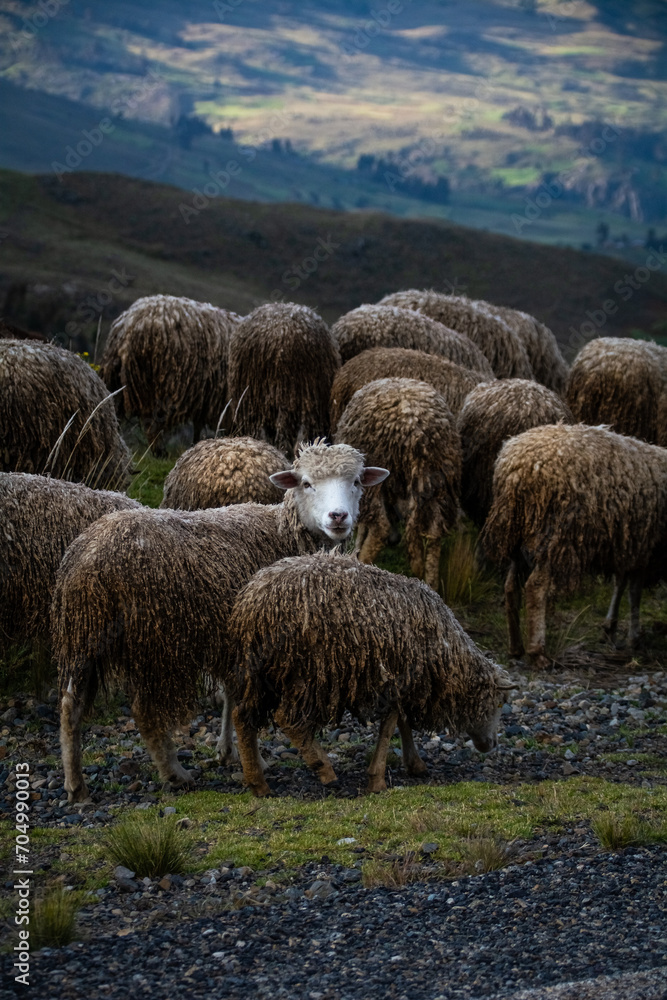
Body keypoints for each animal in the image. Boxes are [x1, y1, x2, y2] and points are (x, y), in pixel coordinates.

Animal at [100, 295, 236, 456]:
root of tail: (129, 325)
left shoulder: (204, 396)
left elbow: (198, 424)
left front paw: (195, 444)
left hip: (116, 380)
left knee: (112, 410)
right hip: (160, 384)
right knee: (152, 422)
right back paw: (159, 452)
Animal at [227, 550, 514, 795]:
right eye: (500, 702)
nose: (492, 745)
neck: (448, 652)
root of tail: (252, 603)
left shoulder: (399, 681)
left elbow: (401, 723)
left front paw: (415, 764)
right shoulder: (401, 679)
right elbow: (389, 727)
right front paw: (377, 780)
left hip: (260, 672)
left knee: (241, 717)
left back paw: (258, 783)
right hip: (305, 673)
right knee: (286, 719)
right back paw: (324, 770)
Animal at [334, 377, 461, 590]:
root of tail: (414, 427)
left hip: (379, 465)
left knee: (380, 528)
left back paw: (364, 562)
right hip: (439, 479)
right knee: (435, 531)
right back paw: (432, 582)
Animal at [481, 423, 667, 667]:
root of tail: (518, 468)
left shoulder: (628, 546)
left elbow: (620, 584)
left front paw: (611, 629)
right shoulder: (645, 547)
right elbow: (633, 593)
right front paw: (633, 638)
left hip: (518, 532)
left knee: (511, 586)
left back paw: (515, 647)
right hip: (554, 532)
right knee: (535, 586)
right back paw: (537, 652)